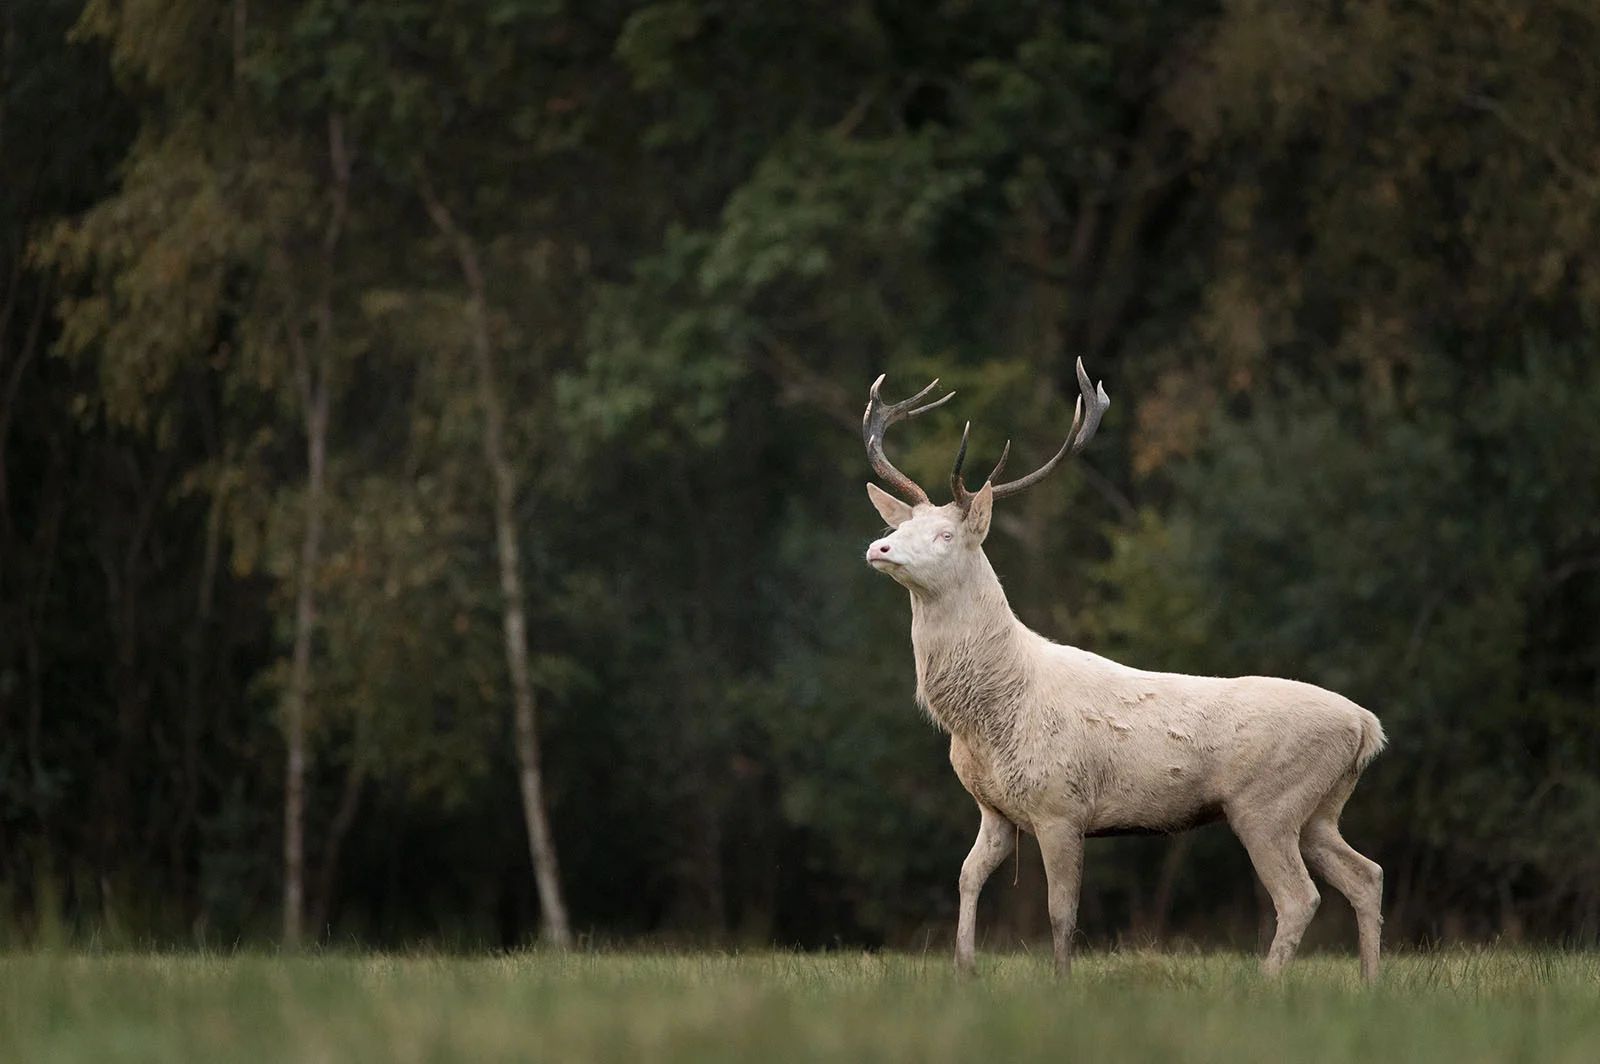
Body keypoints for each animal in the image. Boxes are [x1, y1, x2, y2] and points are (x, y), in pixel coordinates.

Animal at [862, 360, 1387, 980]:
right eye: (900, 526)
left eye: (945, 534)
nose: (879, 548)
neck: (984, 717)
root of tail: (1366, 727)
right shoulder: (994, 808)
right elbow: (966, 879)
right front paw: (965, 970)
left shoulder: (1061, 804)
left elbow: (1061, 910)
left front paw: (1062, 983)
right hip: (1320, 810)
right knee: (1367, 874)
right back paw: (1369, 984)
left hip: (1268, 804)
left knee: (1301, 897)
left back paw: (1266, 985)